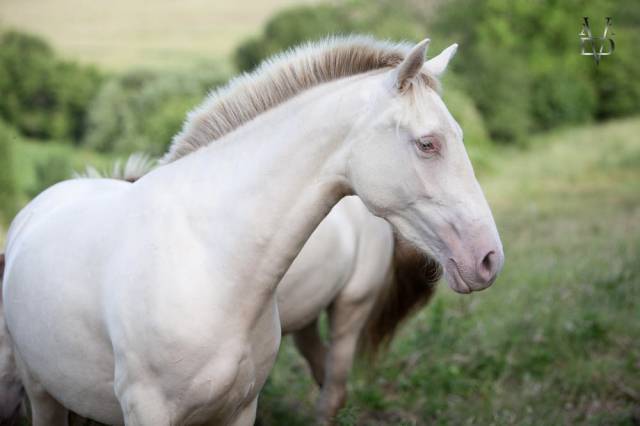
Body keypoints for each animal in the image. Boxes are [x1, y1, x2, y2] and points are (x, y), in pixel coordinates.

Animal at [1, 35, 503, 425]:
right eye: (428, 144)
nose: (488, 259)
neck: (210, 264)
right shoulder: (148, 411)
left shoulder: (240, 408)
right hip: (42, 393)